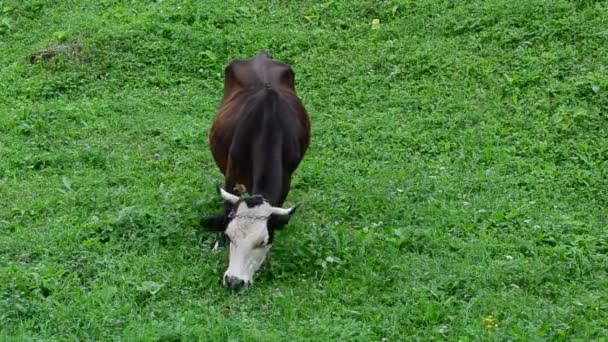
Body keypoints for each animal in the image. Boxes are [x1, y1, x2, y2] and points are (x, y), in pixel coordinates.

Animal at [203, 52, 312, 290]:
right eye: (230, 236)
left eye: (262, 241)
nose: (234, 281)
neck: (266, 128)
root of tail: (262, 55)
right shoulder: (232, 173)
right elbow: (227, 206)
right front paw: (217, 245)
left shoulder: (286, 178)